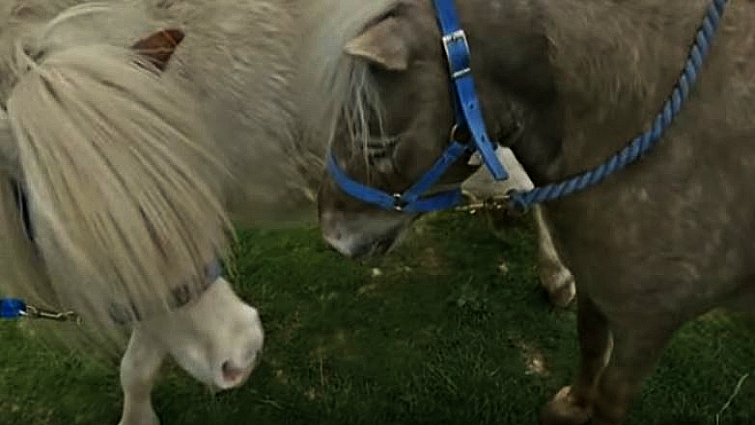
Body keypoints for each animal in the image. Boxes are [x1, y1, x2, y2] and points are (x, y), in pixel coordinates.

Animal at [313, 0, 755, 424]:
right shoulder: (592, 284)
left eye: (377, 147)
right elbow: (590, 343)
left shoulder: (648, 325)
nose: (334, 237)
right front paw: (572, 406)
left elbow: (611, 399)